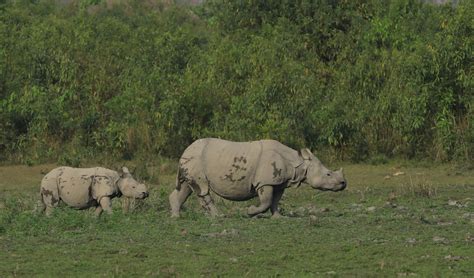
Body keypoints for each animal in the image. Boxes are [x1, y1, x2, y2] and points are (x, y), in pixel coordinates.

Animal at [168, 138, 346, 218]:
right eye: (328, 174)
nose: (344, 183)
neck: (298, 163)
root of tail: (185, 150)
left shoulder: (279, 182)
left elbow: (275, 201)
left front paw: (278, 217)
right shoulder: (265, 182)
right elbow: (266, 201)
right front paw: (250, 212)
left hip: (191, 161)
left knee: (186, 188)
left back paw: (176, 216)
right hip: (195, 159)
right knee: (202, 188)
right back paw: (219, 216)